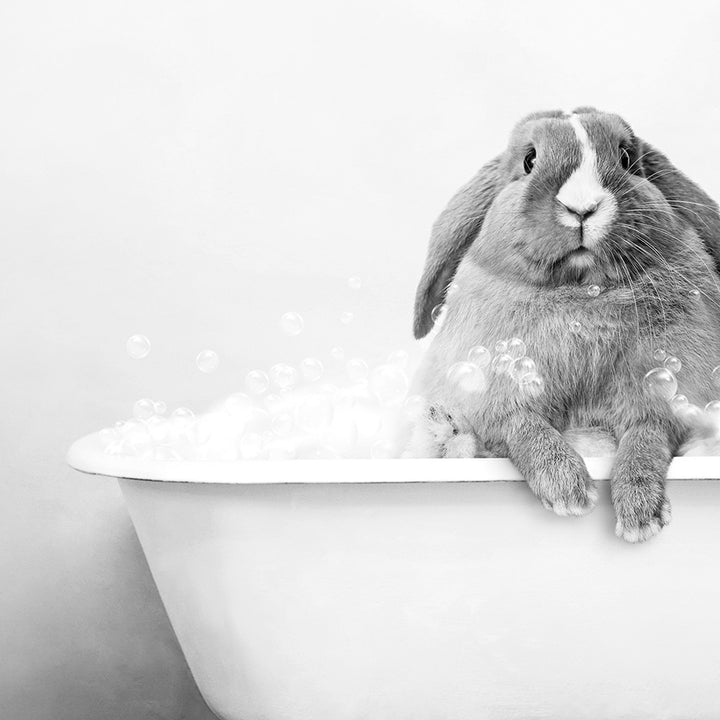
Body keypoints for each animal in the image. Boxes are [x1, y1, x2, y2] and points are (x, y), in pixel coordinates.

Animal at [408, 107, 720, 544]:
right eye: (529, 160)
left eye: (626, 158)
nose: (582, 207)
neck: (583, 293)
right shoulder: (494, 392)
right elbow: (524, 426)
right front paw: (569, 492)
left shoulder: (664, 395)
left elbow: (646, 438)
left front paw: (640, 516)